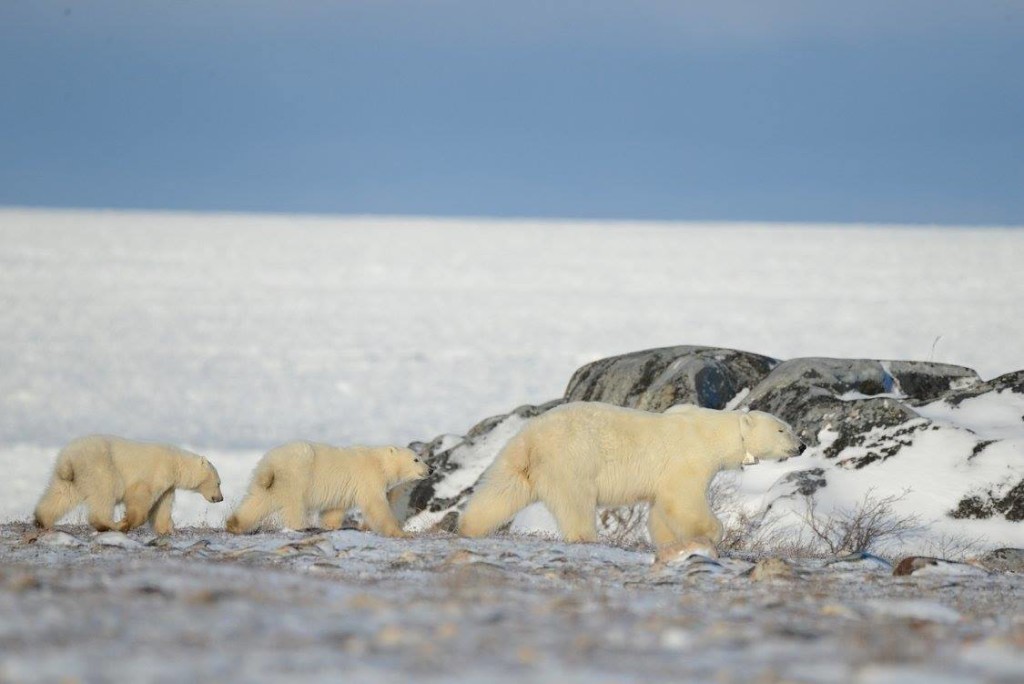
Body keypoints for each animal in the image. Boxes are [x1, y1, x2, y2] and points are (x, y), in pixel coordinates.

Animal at [34, 435, 224, 534]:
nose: (220, 498)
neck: (177, 463)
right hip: (100, 466)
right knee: (105, 493)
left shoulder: (168, 486)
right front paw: (127, 522)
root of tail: (69, 458)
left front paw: (166, 528)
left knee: (61, 495)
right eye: (219, 482)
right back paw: (110, 525)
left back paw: (42, 520)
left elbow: (162, 506)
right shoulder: (156, 472)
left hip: (70, 476)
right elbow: (140, 496)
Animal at [225, 442, 430, 537]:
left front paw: (330, 526)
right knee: (294, 506)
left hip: (269, 484)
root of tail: (270, 463)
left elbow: (334, 509)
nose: (430, 469)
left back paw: (234, 524)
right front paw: (399, 532)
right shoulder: (369, 478)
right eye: (416, 459)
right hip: (295, 476)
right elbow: (376, 505)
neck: (379, 462)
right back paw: (300, 526)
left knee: (256, 502)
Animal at [458, 402, 805, 546]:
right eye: (782, 429)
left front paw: (667, 541)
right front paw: (711, 533)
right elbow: (683, 500)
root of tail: (531, 437)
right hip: (572, 460)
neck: (715, 433)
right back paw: (586, 536)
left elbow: (662, 509)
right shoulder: (688, 459)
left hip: (518, 461)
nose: (801, 445)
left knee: (501, 491)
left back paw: (469, 525)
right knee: (575, 502)